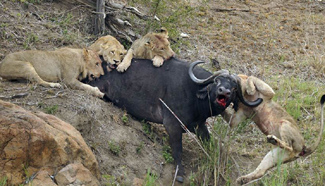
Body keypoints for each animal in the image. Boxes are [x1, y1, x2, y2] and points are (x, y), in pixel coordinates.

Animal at [88, 57, 260, 182]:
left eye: (234, 87)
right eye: (217, 81)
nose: (224, 91)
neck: (195, 97)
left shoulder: (199, 126)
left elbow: (210, 145)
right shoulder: (172, 124)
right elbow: (178, 149)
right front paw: (180, 173)